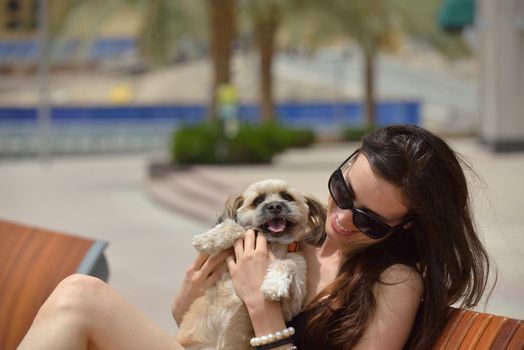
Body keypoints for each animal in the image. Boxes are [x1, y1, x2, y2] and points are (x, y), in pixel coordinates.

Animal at [177, 179, 324, 348]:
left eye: (287, 197)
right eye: (258, 201)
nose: (275, 206)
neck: (273, 245)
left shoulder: (291, 309)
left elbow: (287, 263)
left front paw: (274, 285)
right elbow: (238, 227)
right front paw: (209, 238)